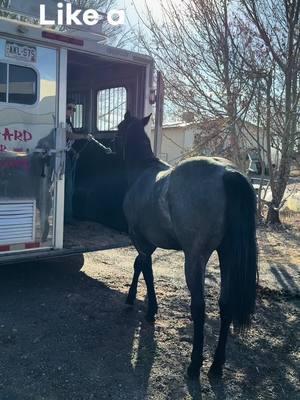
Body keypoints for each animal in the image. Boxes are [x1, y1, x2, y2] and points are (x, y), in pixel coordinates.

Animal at [117, 111, 258, 378]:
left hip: (194, 258)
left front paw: (149, 309)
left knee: (199, 307)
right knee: (225, 305)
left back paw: (194, 365)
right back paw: (216, 365)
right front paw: (133, 299)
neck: (143, 173)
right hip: (227, 255)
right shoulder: (148, 244)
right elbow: (139, 266)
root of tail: (228, 173)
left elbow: (145, 270)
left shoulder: (140, 241)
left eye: (119, 128)